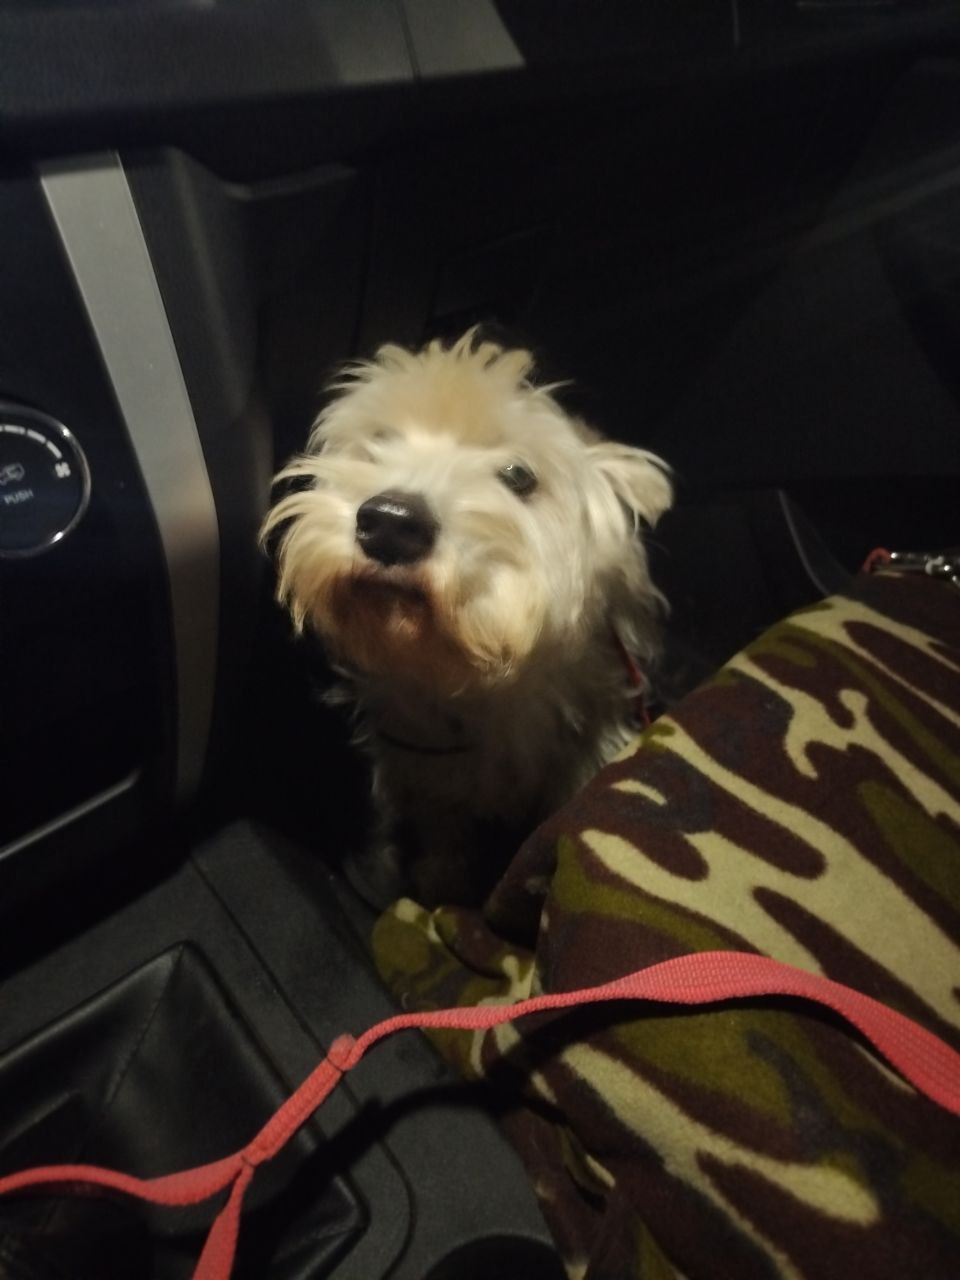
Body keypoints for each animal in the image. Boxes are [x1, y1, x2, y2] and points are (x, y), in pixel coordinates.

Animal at [261, 332, 672, 906]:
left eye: (518, 476)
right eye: (378, 442)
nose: (389, 523)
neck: (481, 680)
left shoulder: (589, 737)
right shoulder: (428, 761)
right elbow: (442, 827)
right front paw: (438, 882)